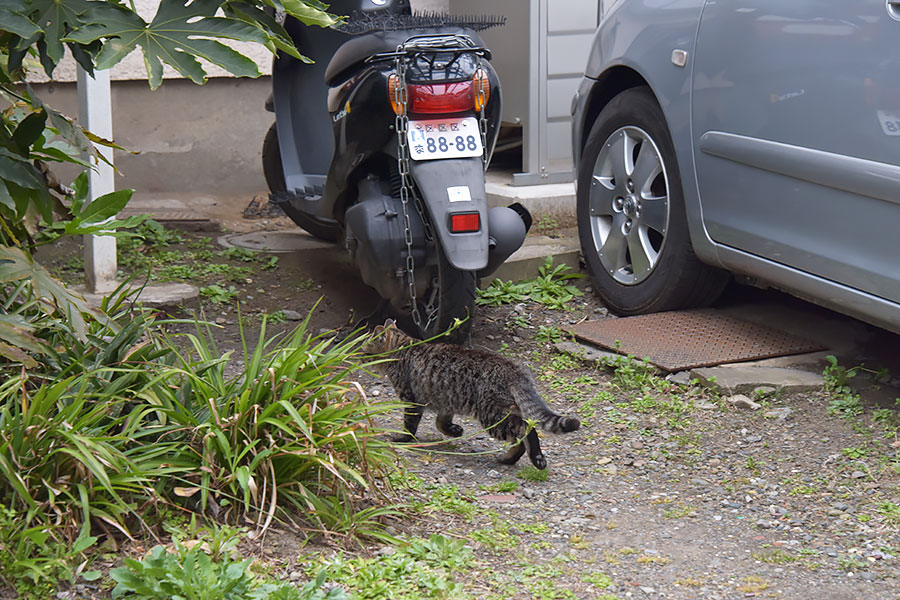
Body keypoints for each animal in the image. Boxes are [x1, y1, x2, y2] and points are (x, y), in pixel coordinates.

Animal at [368, 322, 584, 472]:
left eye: (364, 347)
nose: (360, 354)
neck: (405, 347)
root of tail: (513, 369)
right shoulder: (447, 400)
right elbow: (441, 422)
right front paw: (454, 431)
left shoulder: (412, 400)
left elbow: (410, 425)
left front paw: (403, 438)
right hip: (504, 410)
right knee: (522, 432)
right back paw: (508, 459)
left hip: (492, 416)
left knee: (526, 430)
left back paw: (530, 457)